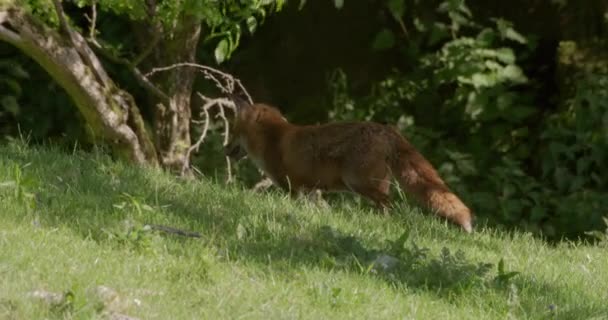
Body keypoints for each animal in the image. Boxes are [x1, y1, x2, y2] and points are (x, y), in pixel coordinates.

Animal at [224, 94, 476, 232]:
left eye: (233, 129)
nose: (225, 149)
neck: (274, 138)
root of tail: (387, 130)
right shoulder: (312, 190)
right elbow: (318, 209)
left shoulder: (292, 188)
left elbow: (293, 205)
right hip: (374, 183)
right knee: (387, 203)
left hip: (358, 182)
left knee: (390, 203)